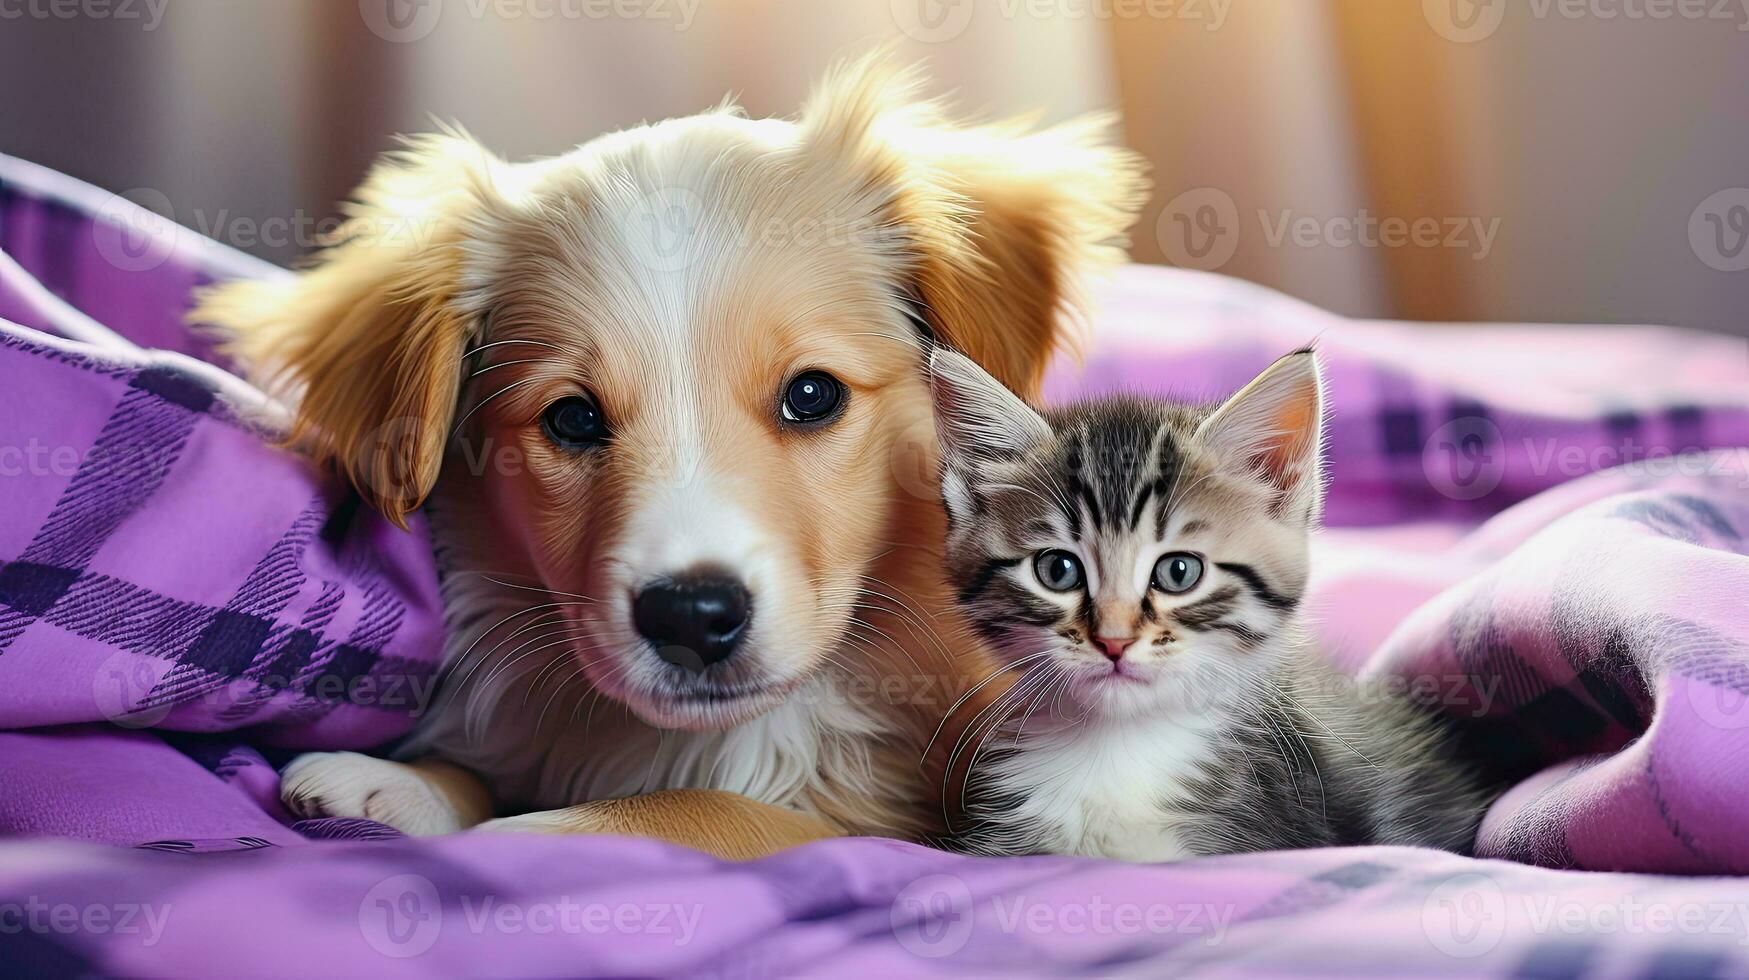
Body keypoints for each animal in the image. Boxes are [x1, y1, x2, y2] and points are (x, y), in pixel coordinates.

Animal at [195, 55, 1147, 857]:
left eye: (813, 395)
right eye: (573, 419)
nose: (691, 616)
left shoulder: (894, 823)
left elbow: (675, 810)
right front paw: (401, 784)